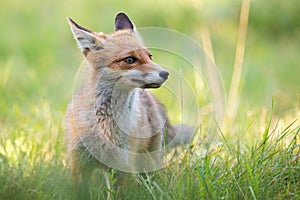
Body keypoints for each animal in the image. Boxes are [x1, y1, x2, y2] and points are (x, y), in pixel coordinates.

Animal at [64, 12, 193, 183]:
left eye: (150, 56)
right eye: (130, 59)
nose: (165, 74)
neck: (106, 127)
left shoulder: (123, 166)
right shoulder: (79, 164)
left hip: (148, 161)